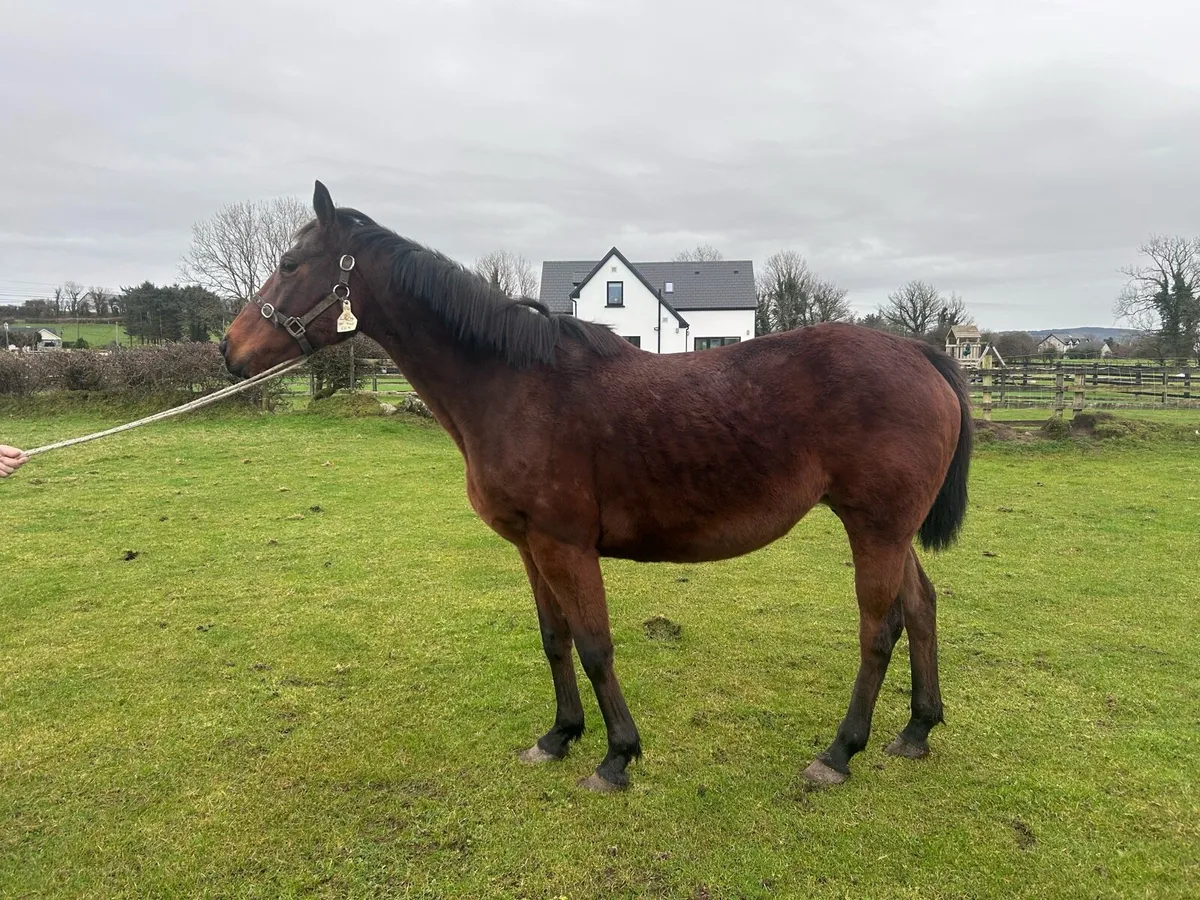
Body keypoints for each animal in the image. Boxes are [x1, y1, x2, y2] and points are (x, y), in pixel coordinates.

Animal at [220, 181, 971, 792]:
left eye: (292, 264)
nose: (229, 350)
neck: (514, 383)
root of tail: (918, 353)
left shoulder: (567, 546)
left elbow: (594, 645)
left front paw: (616, 757)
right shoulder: (531, 548)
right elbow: (555, 640)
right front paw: (559, 736)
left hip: (874, 529)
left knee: (880, 629)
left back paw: (840, 752)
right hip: (889, 531)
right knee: (922, 607)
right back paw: (915, 730)